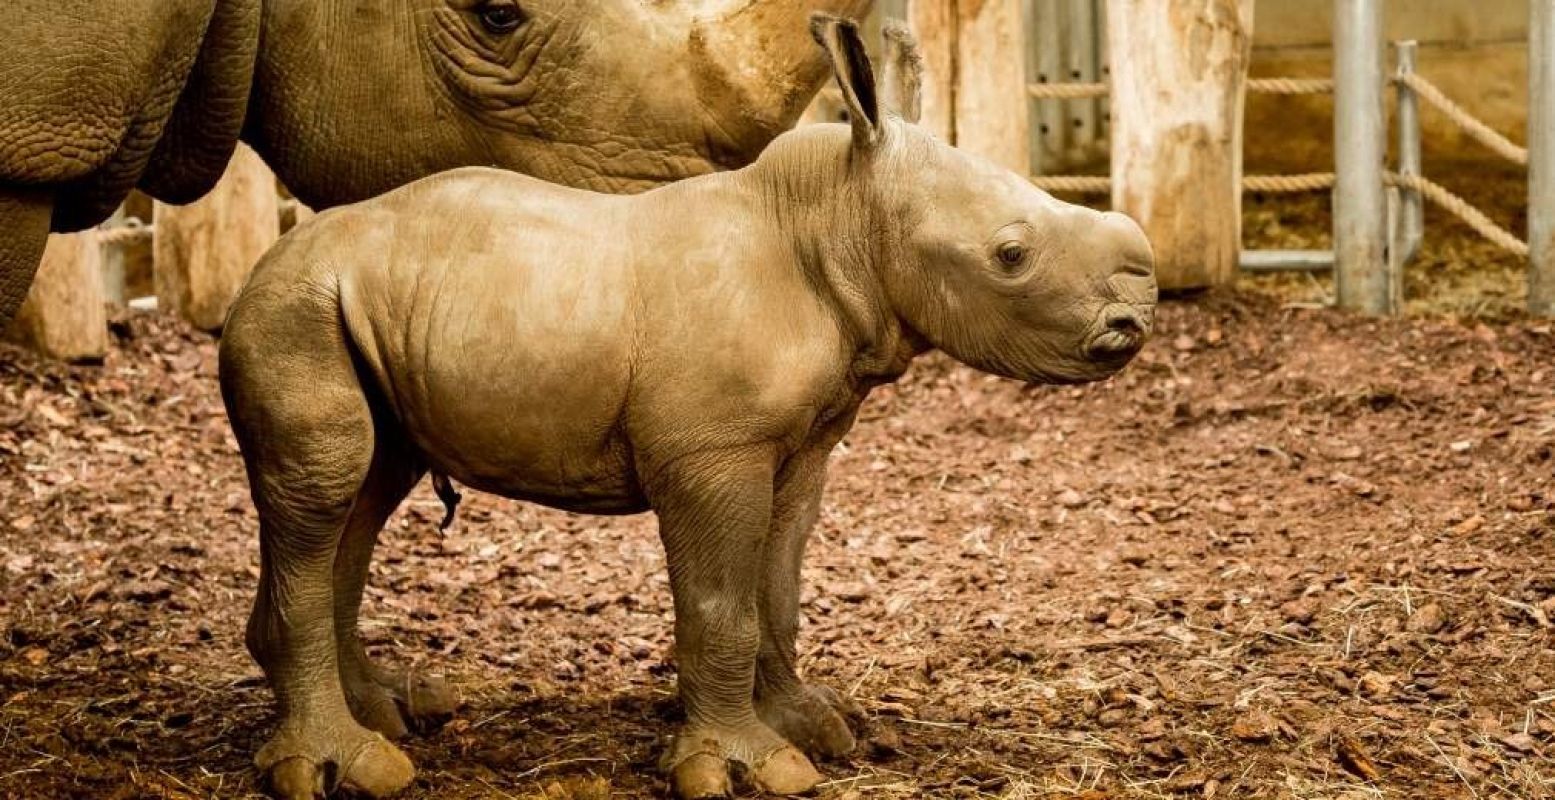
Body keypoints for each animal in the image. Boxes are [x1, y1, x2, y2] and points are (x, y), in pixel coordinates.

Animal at [225, 14, 1163, 796]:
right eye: (1010, 256)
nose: (1134, 319)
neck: (835, 218)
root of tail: (256, 271)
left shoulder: (800, 443)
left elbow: (775, 586)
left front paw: (813, 727)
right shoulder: (713, 451)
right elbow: (721, 605)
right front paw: (747, 769)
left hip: (347, 311)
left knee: (368, 488)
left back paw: (392, 712)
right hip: (293, 312)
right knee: (326, 483)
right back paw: (352, 766)